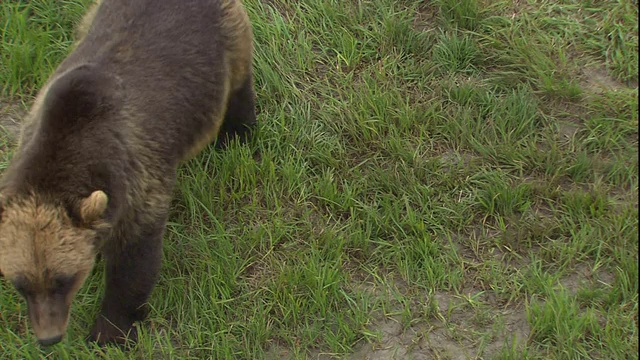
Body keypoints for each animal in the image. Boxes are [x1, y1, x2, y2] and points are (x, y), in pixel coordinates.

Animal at [0, 0, 255, 348]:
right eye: (20, 283)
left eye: (63, 279)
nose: (49, 338)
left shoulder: (138, 183)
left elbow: (134, 265)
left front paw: (108, 332)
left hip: (227, 36)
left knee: (239, 80)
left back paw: (237, 132)